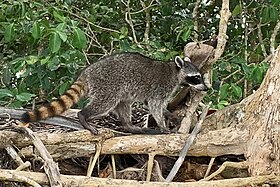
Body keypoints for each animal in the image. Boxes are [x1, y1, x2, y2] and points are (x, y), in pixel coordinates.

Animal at [21, 52, 208, 134]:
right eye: (196, 77)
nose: (206, 88)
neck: (175, 71)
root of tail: (87, 72)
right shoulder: (160, 87)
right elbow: (155, 105)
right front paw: (162, 125)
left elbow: (154, 105)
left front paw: (170, 115)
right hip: (107, 85)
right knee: (105, 104)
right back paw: (83, 116)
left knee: (123, 104)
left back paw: (129, 126)